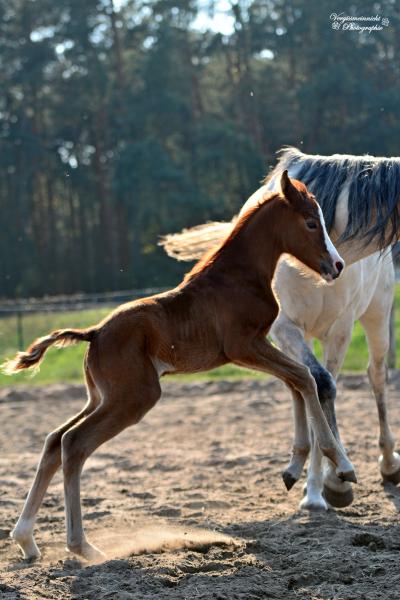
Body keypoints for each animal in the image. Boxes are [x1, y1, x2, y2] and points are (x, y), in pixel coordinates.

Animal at [2, 170, 354, 564]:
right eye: (310, 222)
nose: (337, 266)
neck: (238, 276)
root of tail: (94, 333)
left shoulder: (255, 347)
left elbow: (295, 382)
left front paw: (293, 469)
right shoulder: (244, 347)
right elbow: (304, 378)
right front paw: (342, 465)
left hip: (101, 397)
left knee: (54, 440)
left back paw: (26, 540)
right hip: (133, 398)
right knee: (74, 444)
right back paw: (82, 547)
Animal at [163, 148, 400, 508]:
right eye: (311, 223)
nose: (336, 266)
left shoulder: (340, 329)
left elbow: (325, 386)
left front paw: (327, 483)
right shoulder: (283, 328)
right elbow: (317, 385)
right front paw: (320, 487)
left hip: (376, 314)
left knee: (376, 377)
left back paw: (387, 464)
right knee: (306, 382)